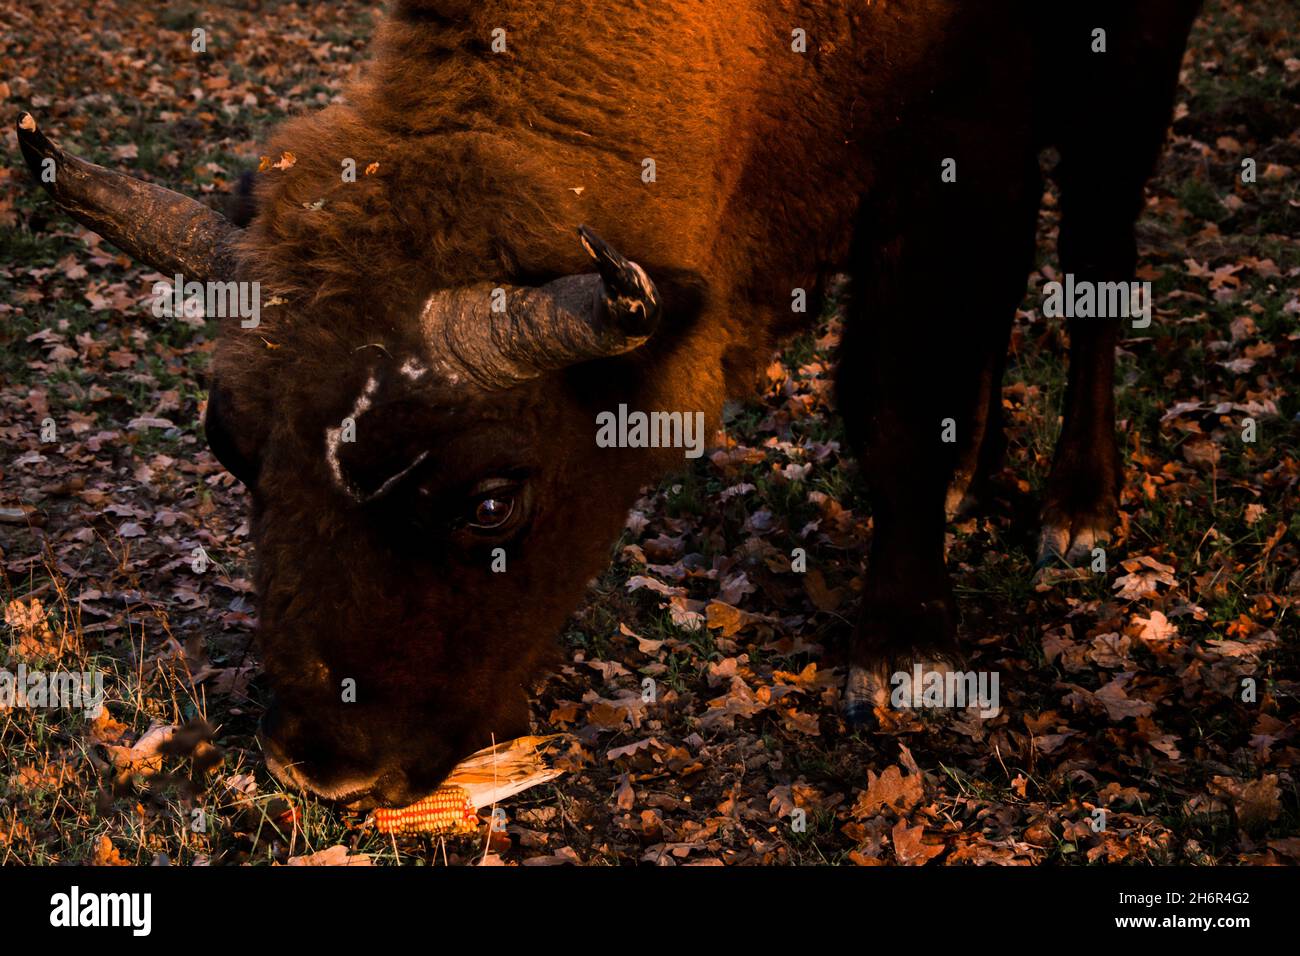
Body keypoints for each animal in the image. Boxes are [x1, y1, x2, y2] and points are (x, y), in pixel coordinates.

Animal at [17, 0, 1196, 806]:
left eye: (492, 501)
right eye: (230, 448)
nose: (325, 768)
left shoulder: (956, 148)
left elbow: (896, 397)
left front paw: (905, 653)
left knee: (1093, 256)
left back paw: (1076, 509)